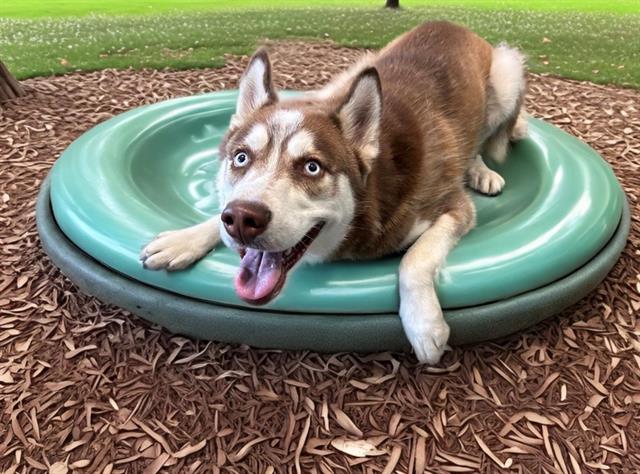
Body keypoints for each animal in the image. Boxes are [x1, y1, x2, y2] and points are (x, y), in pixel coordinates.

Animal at [139, 21, 524, 362]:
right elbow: (215, 218)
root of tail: (450, 24)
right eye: (241, 157)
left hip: (507, 74)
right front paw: (185, 239)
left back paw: (481, 169)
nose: (242, 219)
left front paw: (424, 324)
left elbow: (415, 259)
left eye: (312, 167)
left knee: (485, 139)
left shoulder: (454, 207)